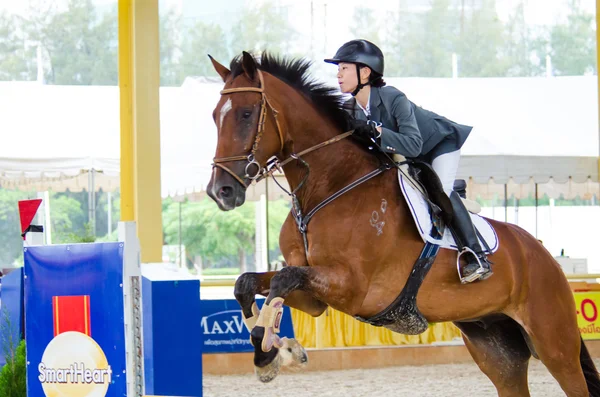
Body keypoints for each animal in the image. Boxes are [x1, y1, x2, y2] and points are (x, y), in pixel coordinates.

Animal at [207, 51, 600, 394]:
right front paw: (273, 352)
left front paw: (272, 350)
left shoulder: (350, 287)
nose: (220, 191)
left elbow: (280, 282)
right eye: (214, 116)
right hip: (495, 345)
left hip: (554, 342)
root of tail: (542, 253)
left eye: (245, 114)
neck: (328, 186)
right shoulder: (315, 295)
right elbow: (248, 283)